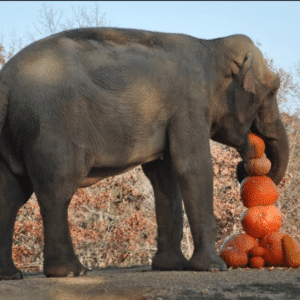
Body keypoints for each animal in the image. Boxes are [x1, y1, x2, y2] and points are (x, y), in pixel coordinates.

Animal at [0, 27, 288, 278]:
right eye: (273, 90)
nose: (246, 164)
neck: (211, 45)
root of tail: (6, 80)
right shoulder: (190, 105)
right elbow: (192, 167)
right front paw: (213, 268)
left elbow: (164, 175)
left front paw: (170, 267)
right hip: (52, 129)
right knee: (56, 191)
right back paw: (71, 272)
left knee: (10, 195)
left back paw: (11, 275)